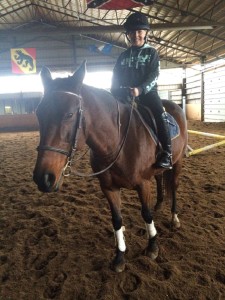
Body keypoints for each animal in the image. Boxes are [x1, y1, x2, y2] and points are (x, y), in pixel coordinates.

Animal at [33, 60, 188, 272]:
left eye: (69, 114)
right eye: (39, 113)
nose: (44, 178)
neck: (117, 141)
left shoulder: (142, 184)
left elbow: (146, 214)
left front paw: (152, 247)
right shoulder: (108, 188)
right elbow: (116, 220)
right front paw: (120, 256)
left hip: (177, 163)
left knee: (173, 186)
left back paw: (174, 218)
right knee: (159, 180)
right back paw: (158, 206)